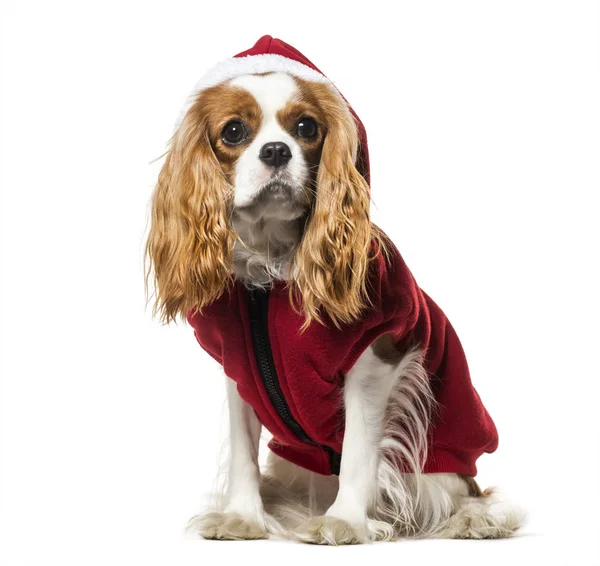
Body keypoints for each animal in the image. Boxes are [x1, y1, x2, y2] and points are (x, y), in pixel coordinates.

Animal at [145, 36, 520, 544]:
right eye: (234, 132)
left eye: (306, 127)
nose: (276, 151)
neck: (274, 268)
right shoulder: (239, 373)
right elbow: (243, 451)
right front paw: (242, 516)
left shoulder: (376, 357)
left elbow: (360, 452)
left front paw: (344, 521)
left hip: (440, 468)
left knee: (465, 496)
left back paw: (474, 520)